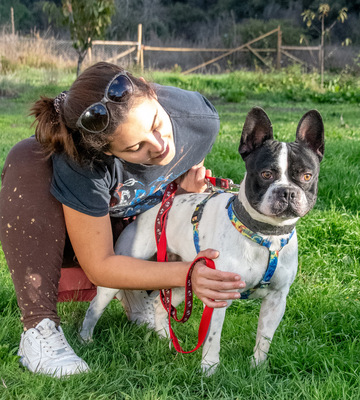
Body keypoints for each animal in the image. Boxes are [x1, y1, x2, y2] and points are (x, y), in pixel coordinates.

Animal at [80, 107, 324, 376]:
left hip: (181, 278)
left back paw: (165, 341)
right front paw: (209, 370)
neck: (265, 235)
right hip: (123, 272)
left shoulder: (276, 300)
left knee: (159, 305)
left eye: (307, 176)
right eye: (266, 174)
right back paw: (85, 339)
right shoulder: (217, 295)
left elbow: (264, 339)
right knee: (96, 305)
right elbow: (212, 338)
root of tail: (156, 207)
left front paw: (258, 368)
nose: (287, 192)